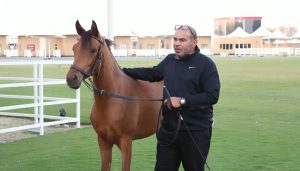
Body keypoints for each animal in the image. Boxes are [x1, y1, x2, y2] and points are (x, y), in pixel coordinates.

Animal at [66, 20, 163, 170]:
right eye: (74, 48)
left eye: (93, 50)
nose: (71, 78)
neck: (112, 100)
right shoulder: (103, 141)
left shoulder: (126, 143)